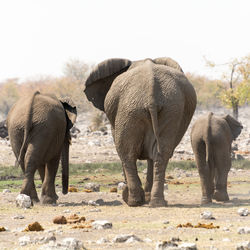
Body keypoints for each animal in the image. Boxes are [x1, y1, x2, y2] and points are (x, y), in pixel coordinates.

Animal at [84, 56, 197, 207]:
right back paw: (157, 203)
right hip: (171, 109)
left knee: (126, 154)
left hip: (129, 110)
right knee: (161, 154)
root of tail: (151, 90)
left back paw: (133, 201)